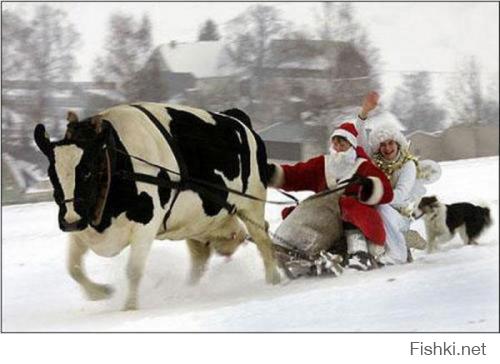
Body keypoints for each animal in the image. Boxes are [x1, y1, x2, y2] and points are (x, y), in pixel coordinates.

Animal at [34, 102, 282, 310]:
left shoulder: (145, 225)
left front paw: (129, 309)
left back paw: (273, 281)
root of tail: (237, 118)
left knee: (264, 241)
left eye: (87, 171)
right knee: (201, 257)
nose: (70, 221)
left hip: (252, 204)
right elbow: (73, 268)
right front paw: (101, 293)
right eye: (52, 175)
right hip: (197, 223)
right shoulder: (83, 227)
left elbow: (133, 270)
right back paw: (189, 291)